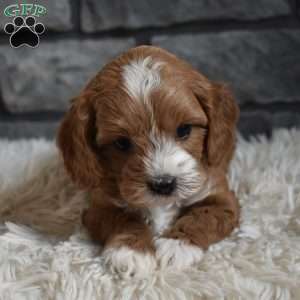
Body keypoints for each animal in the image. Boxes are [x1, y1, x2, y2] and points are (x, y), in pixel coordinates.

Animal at [57, 45, 240, 278]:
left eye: (184, 129)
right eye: (121, 142)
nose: (163, 184)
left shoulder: (221, 198)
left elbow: (203, 216)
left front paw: (177, 246)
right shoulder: (99, 206)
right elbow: (123, 220)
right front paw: (131, 252)